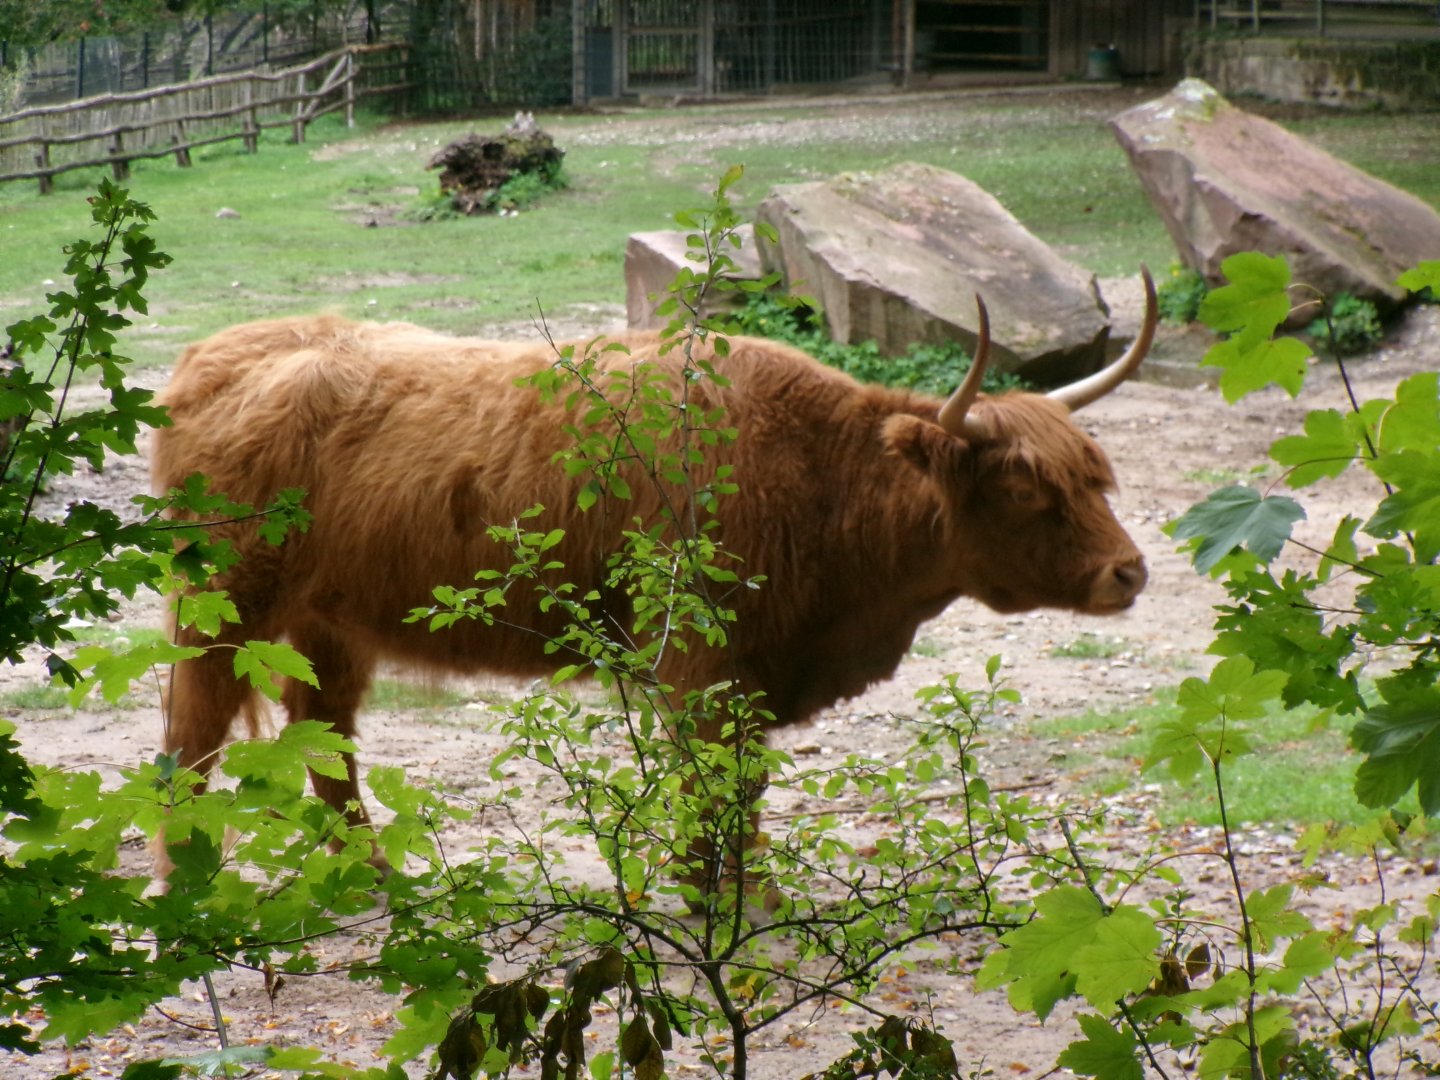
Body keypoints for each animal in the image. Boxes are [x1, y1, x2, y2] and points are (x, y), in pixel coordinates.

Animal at [153, 270, 1156, 863]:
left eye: (1095, 473)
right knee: (190, 739)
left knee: (326, 741)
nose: (1131, 573)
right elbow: (710, 794)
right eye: (1025, 488)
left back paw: (372, 877)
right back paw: (185, 885)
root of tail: (211, 357)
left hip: (331, 624)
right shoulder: (698, 666)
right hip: (222, 610)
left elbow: (742, 796)